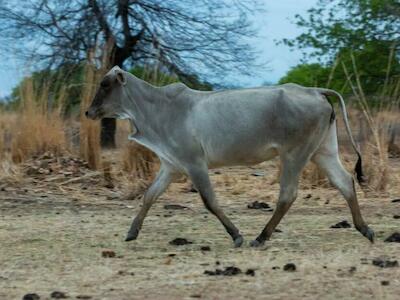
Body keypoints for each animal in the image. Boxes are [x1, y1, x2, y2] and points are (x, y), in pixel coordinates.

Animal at [85, 65, 376, 246]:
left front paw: (236, 235)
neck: (158, 109)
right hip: (322, 152)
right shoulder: (171, 166)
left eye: (105, 84)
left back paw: (261, 237)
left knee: (288, 194)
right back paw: (365, 229)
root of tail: (314, 90)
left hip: (295, 154)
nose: (88, 112)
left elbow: (210, 201)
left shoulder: (194, 164)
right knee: (344, 182)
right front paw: (131, 232)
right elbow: (149, 196)